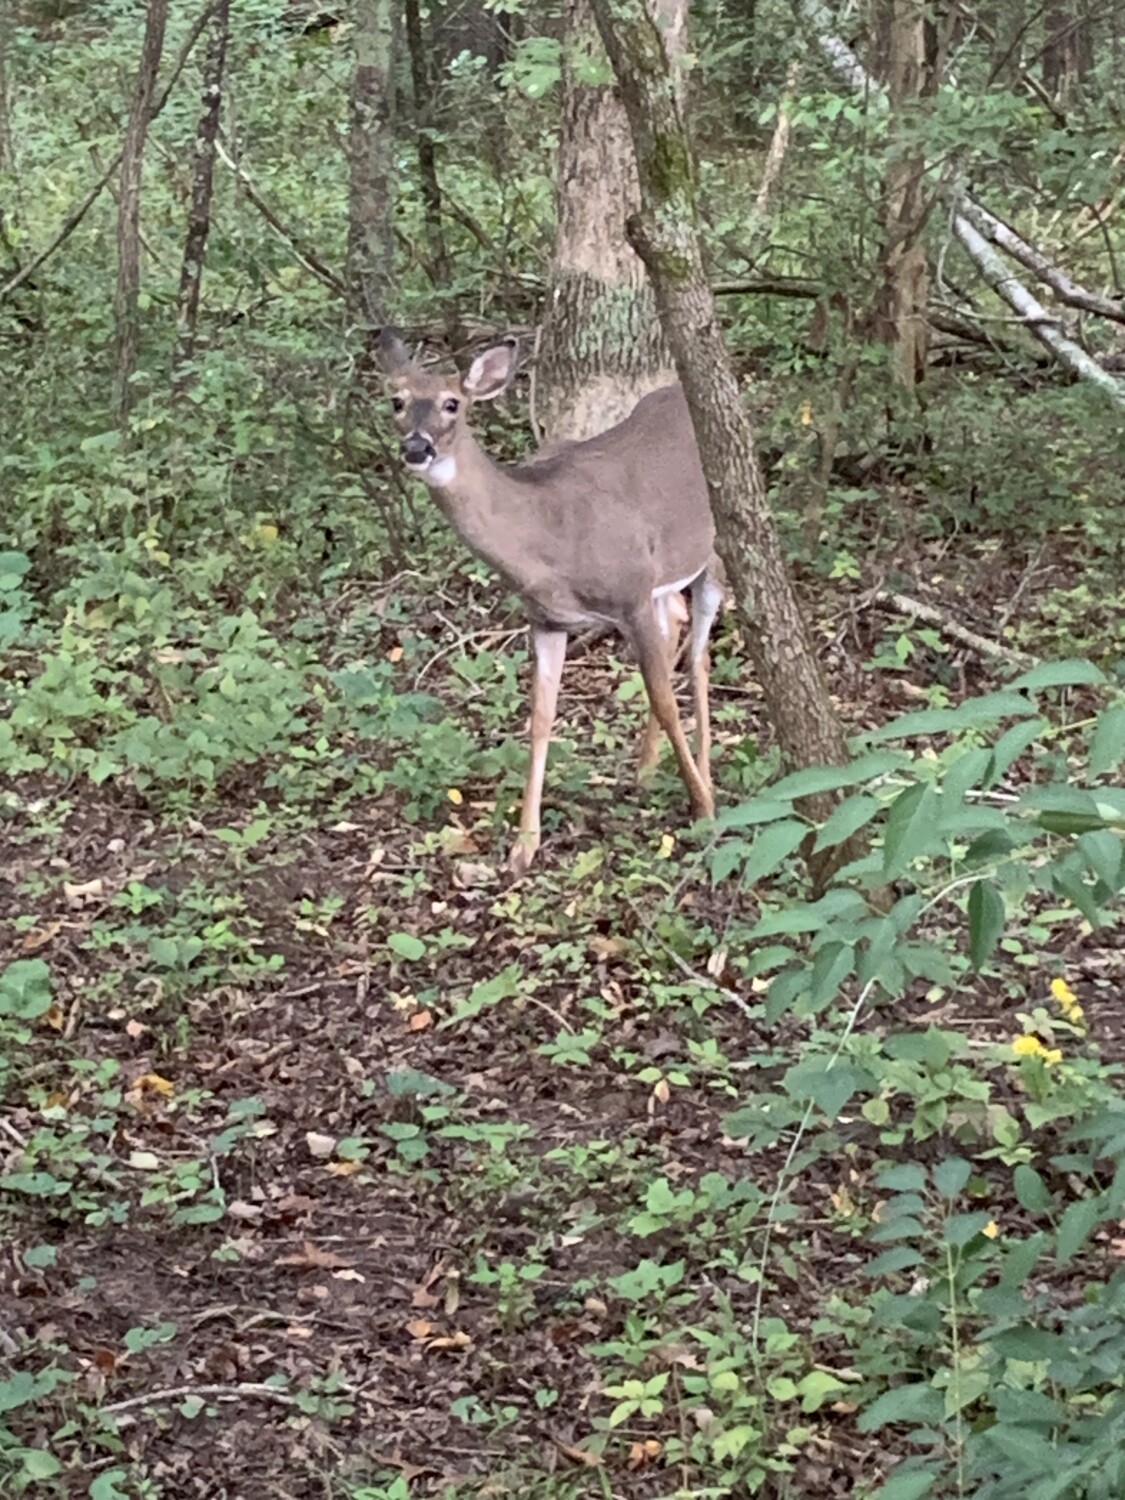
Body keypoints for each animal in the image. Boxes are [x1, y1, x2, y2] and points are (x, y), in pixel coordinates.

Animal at [377, 330, 724, 875]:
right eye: (398, 400)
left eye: (453, 403)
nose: (416, 447)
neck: (548, 538)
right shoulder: (546, 620)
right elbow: (539, 720)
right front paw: (524, 845)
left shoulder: (629, 592)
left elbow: (665, 702)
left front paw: (704, 809)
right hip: (663, 578)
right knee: (677, 622)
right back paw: (646, 769)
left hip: (713, 548)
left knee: (699, 652)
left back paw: (704, 778)